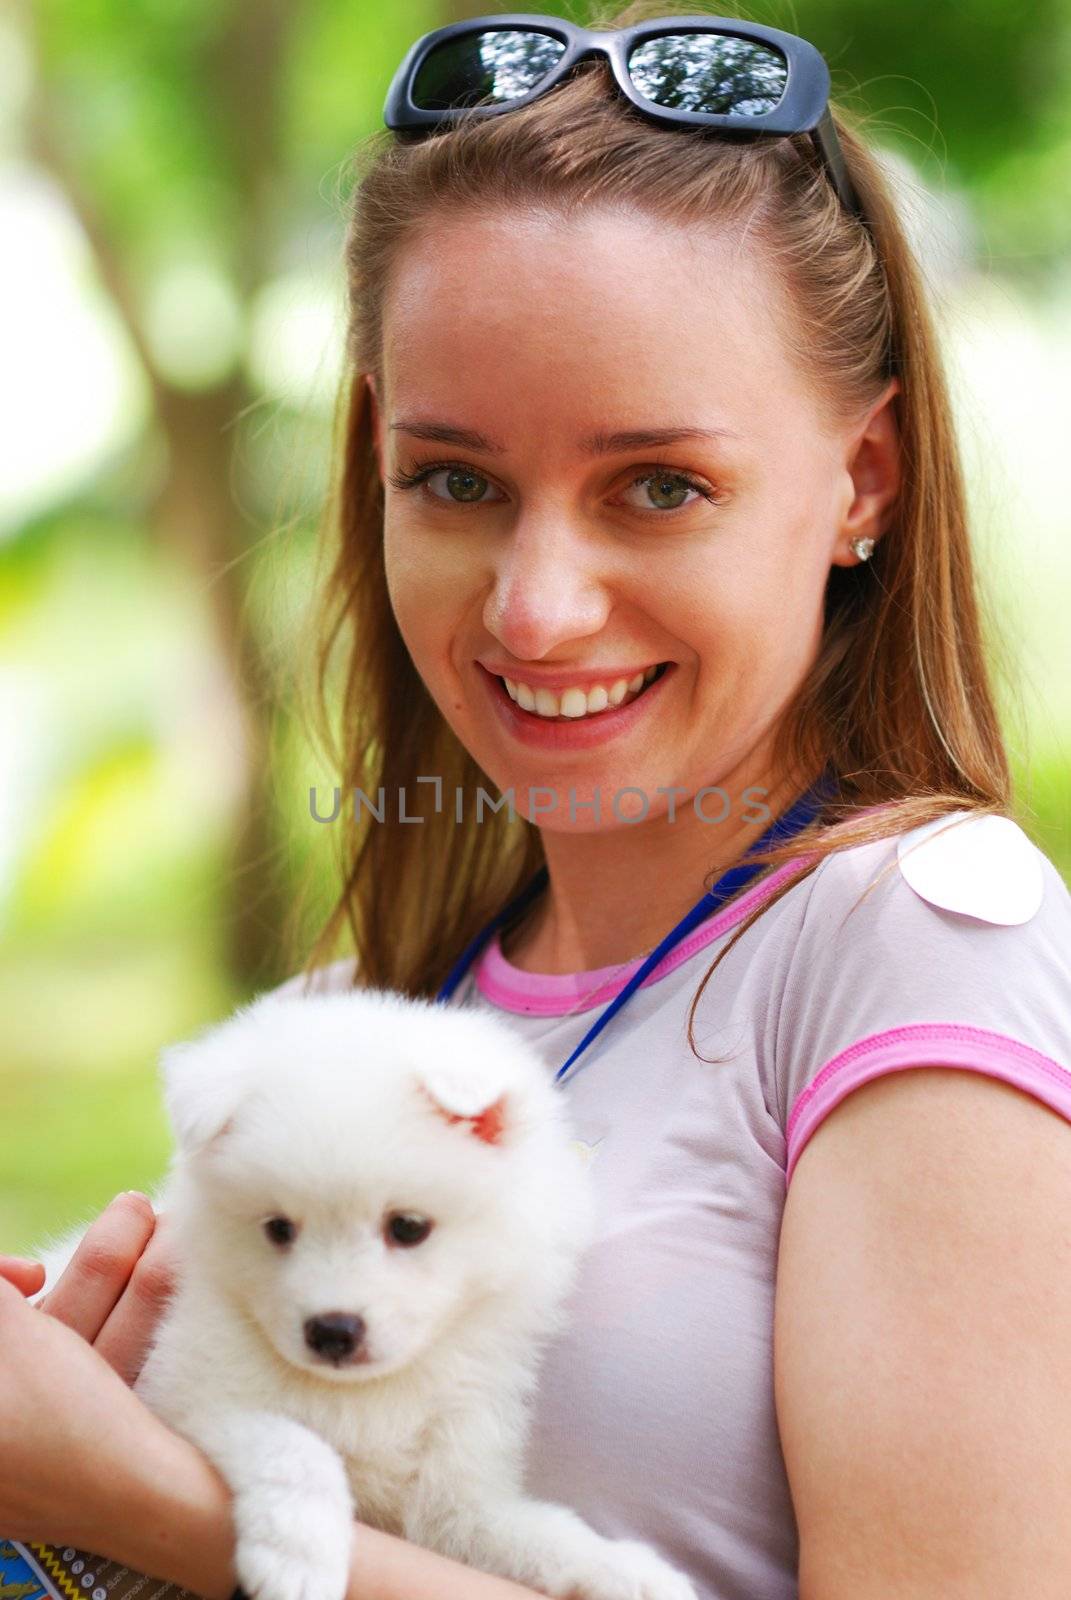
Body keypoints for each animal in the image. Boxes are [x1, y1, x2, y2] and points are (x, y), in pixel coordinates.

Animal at [35, 985, 694, 1600]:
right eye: (278, 1229)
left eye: (408, 1227)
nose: (332, 1331)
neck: (368, 1396)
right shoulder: (184, 1397)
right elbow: (296, 1445)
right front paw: (298, 1560)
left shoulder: (450, 1496)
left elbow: (537, 1531)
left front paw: (630, 1571)